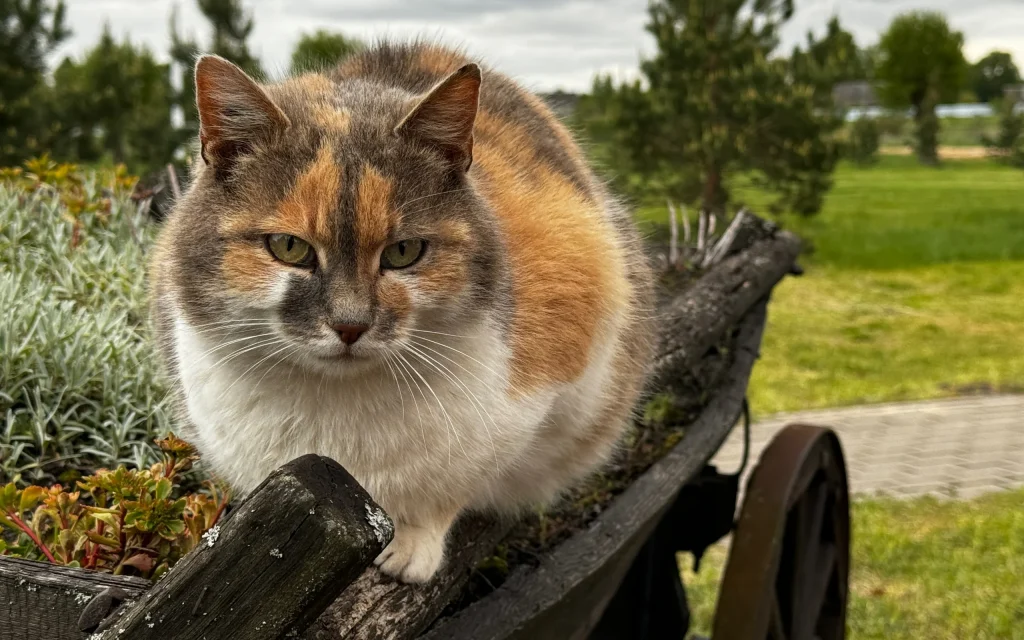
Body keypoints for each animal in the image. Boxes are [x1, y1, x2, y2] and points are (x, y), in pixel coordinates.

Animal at [148, 41, 651, 585]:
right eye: (288, 247)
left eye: (404, 252)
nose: (350, 325)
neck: (336, 408)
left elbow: (451, 489)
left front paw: (412, 545)